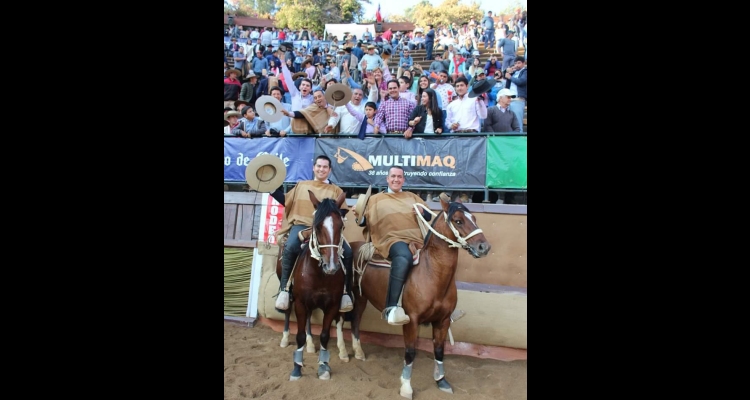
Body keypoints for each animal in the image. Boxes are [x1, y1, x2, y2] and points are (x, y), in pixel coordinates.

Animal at [278, 191, 352, 382]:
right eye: (317, 227)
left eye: (341, 226)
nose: (331, 266)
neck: (320, 275)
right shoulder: (300, 303)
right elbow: (300, 335)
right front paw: (297, 368)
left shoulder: (332, 305)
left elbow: (325, 336)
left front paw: (324, 366)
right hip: (291, 297)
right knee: (287, 312)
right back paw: (285, 338)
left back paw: (311, 344)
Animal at [348, 196, 490, 396]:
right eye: (458, 221)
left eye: (475, 218)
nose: (484, 247)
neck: (431, 273)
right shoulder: (411, 321)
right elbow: (410, 352)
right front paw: (406, 386)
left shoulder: (442, 321)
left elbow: (439, 350)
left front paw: (441, 381)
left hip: (361, 297)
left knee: (355, 320)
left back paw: (359, 352)